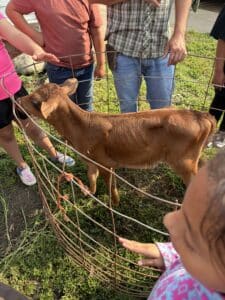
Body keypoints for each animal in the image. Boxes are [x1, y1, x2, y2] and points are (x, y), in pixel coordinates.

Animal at [19, 79, 216, 206]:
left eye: (35, 101)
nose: (19, 99)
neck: (80, 129)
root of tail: (200, 115)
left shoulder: (105, 163)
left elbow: (110, 186)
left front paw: (113, 205)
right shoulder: (92, 161)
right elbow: (92, 178)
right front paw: (89, 192)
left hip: (184, 163)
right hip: (195, 158)